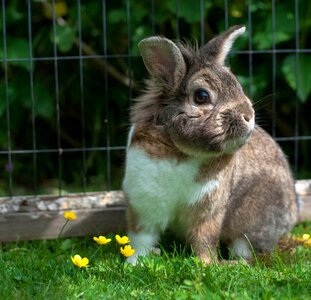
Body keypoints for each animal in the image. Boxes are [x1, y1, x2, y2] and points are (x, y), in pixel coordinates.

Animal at [123, 25, 302, 264]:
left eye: (237, 86)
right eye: (201, 96)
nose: (249, 116)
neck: (182, 152)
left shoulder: (209, 212)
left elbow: (204, 240)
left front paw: (206, 264)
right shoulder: (144, 205)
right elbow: (140, 238)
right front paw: (133, 263)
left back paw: (235, 263)